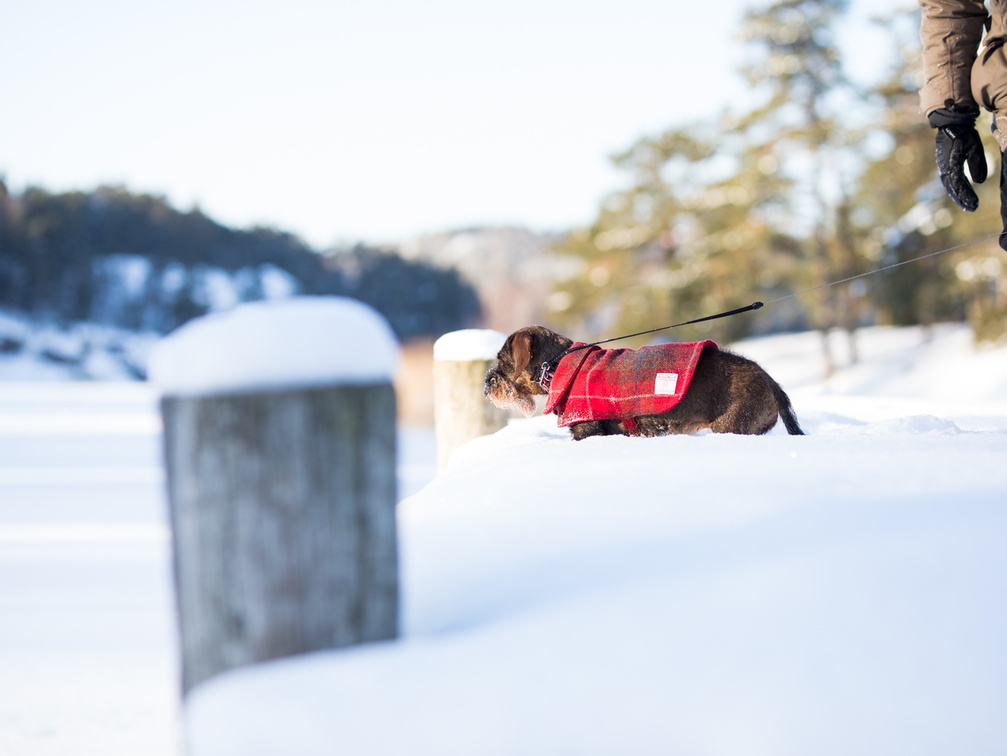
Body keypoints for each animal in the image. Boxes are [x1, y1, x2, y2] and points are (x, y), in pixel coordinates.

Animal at [483, 326, 805, 442]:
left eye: (502, 359)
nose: (487, 385)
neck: (558, 366)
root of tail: (771, 382)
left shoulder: (587, 431)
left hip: (732, 426)